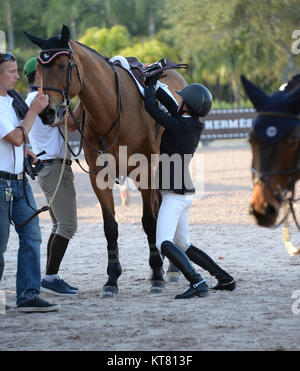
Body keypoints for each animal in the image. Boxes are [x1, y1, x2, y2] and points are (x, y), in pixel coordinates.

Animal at [24, 24, 186, 298]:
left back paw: (171, 268)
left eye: (62, 65)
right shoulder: (99, 176)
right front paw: (112, 279)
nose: (47, 112)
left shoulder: (144, 171)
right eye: (40, 67)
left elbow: (149, 221)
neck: (111, 109)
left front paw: (156, 275)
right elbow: (110, 227)